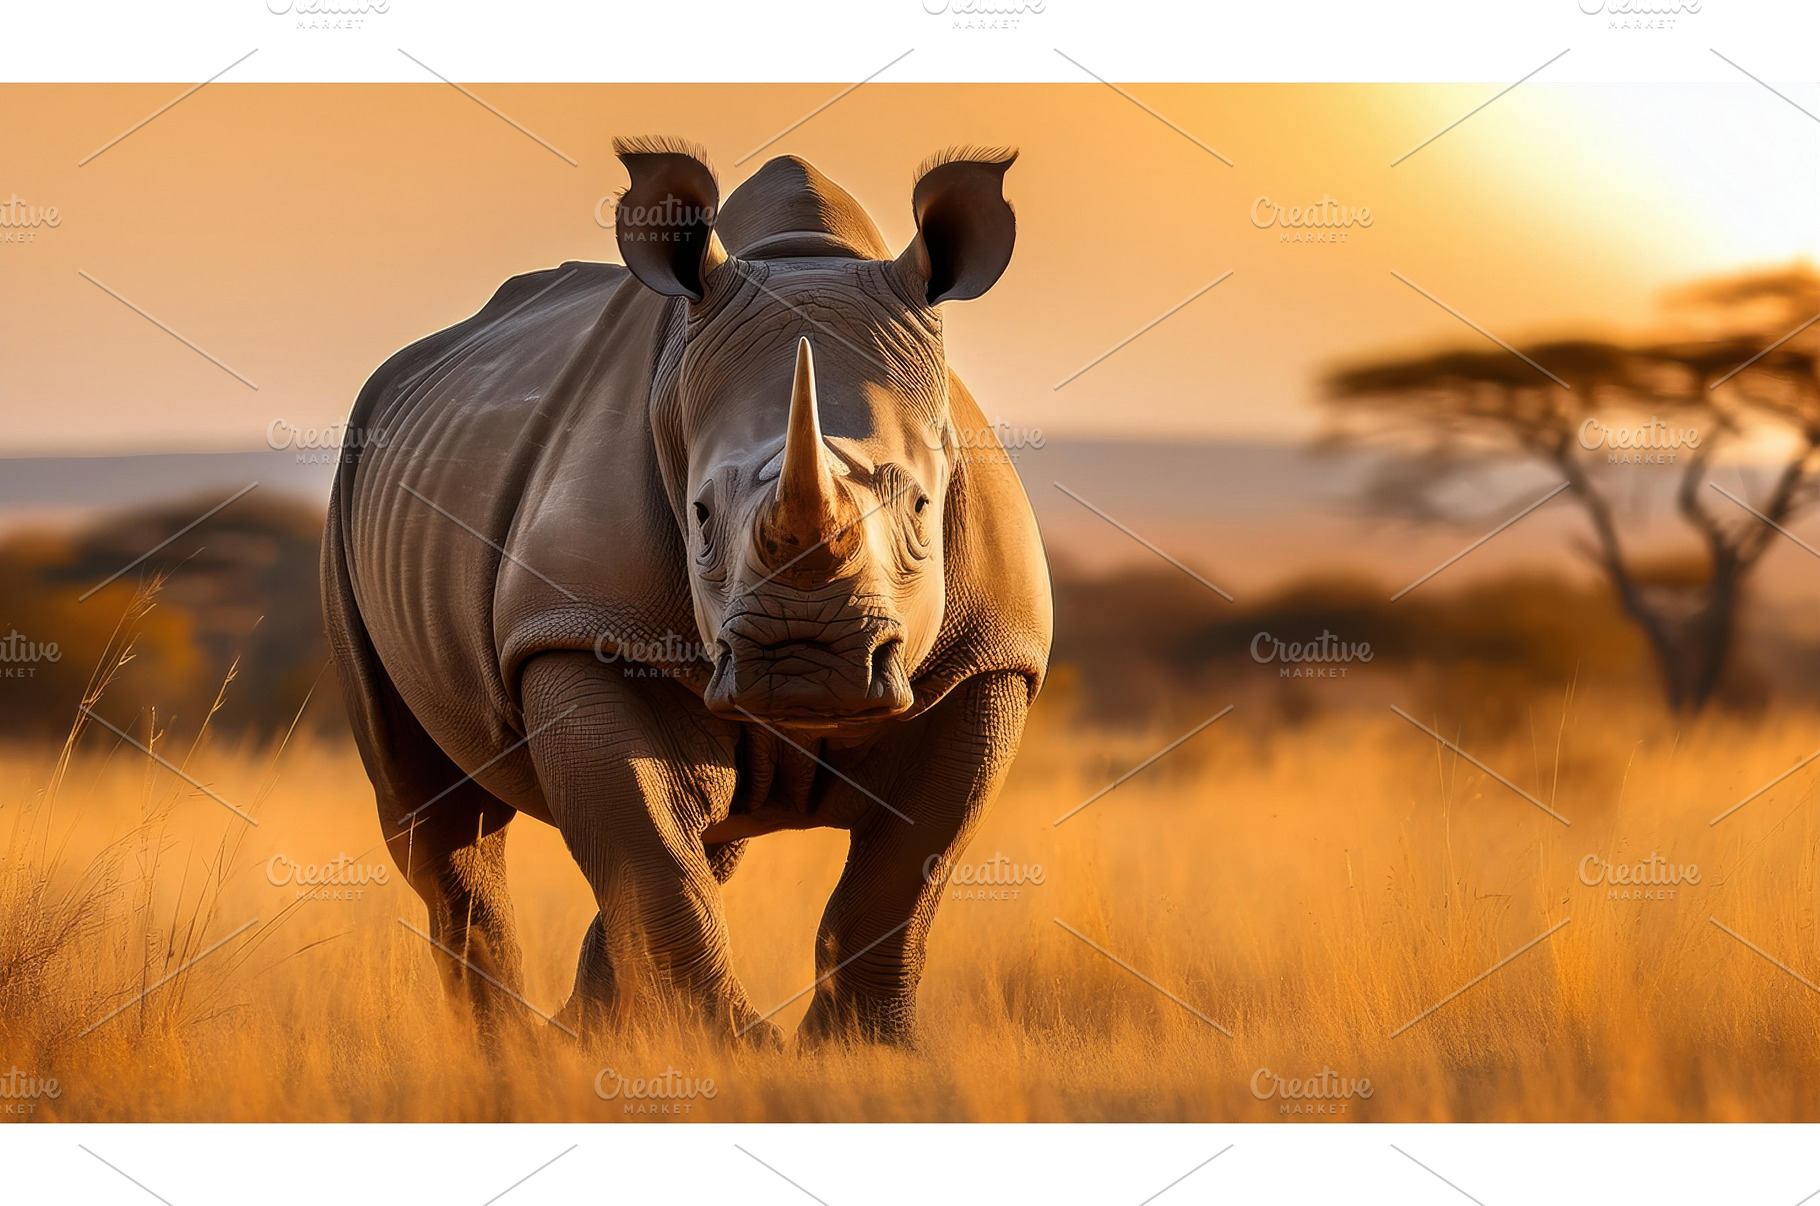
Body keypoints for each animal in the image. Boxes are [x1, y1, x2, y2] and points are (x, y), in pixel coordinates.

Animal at [321, 138, 1051, 1046]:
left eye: (922, 505)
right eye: (699, 516)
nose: (808, 662)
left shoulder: (988, 657)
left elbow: (905, 876)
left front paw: (866, 1054)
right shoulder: (581, 626)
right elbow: (648, 851)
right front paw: (730, 1051)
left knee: (707, 828)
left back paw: (578, 1037)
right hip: (350, 487)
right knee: (438, 820)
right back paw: (516, 1054)